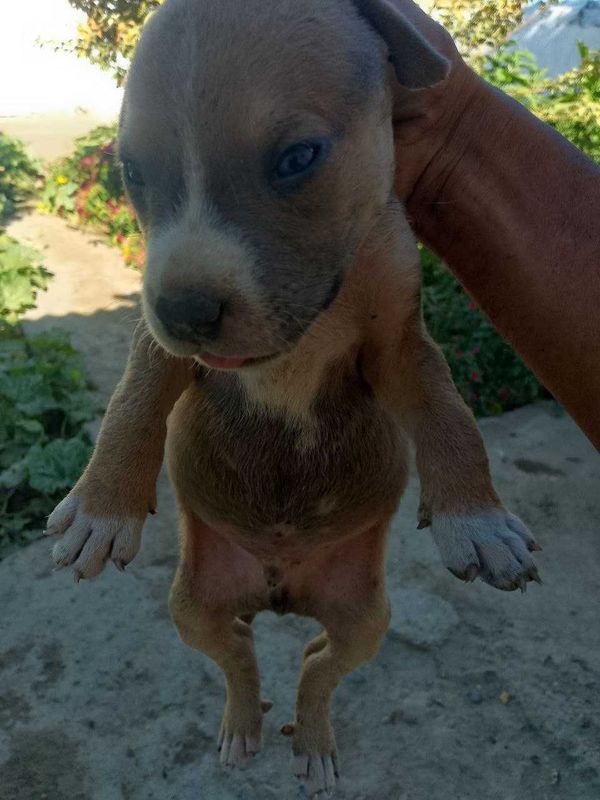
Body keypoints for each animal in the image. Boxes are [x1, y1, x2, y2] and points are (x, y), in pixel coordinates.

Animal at [48, 3, 540, 796]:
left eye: (298, 158)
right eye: (132, 172)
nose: (185, 311)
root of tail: (280, 588)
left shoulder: (399, 344)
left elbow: (451, 416)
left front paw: (479, 520)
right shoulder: (161, 346)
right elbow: (131, 403)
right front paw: (100, 510)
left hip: (365, 613)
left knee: (319, 661)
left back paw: (310, 740)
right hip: (193, 602)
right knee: (235, 653)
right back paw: (243, 724)